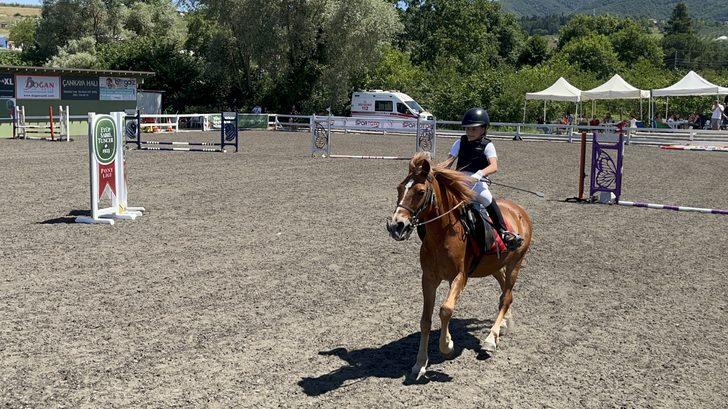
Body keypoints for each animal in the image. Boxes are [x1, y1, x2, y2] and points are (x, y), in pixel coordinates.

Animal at [386, 152, 532, 380]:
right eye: (400, 188)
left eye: (420, 192)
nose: (396, 226)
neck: (444, 233)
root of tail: (520, 210)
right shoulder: (429, 278)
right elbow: (425, 320)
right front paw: (420, 364)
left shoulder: (460, 276)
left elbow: (446, 310)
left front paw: (447, 346)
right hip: (495, 266)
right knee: (504, 294)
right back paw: (504, 325)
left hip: (515, 263)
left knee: (507, 297)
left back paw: (490, 339)